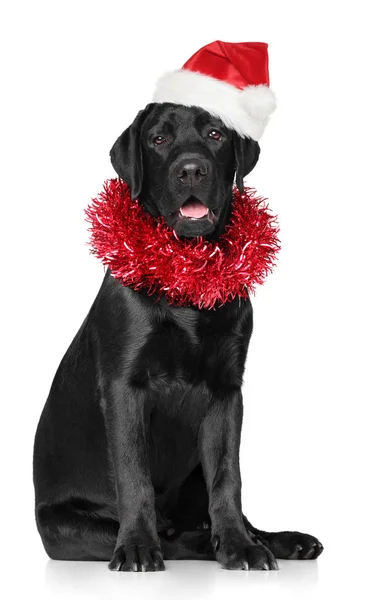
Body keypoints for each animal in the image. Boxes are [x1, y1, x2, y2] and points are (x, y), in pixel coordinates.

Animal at [33, 103, 322, 572]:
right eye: (158, 139)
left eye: (216, 134)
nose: (191, 170)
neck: (188, 272)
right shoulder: (124, 386)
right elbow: (133, 472)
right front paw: (136, 547)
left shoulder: (227, 391)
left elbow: (228, 477)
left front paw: (239, 546)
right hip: (67, 529)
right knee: (173, 537)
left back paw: (275, 541)